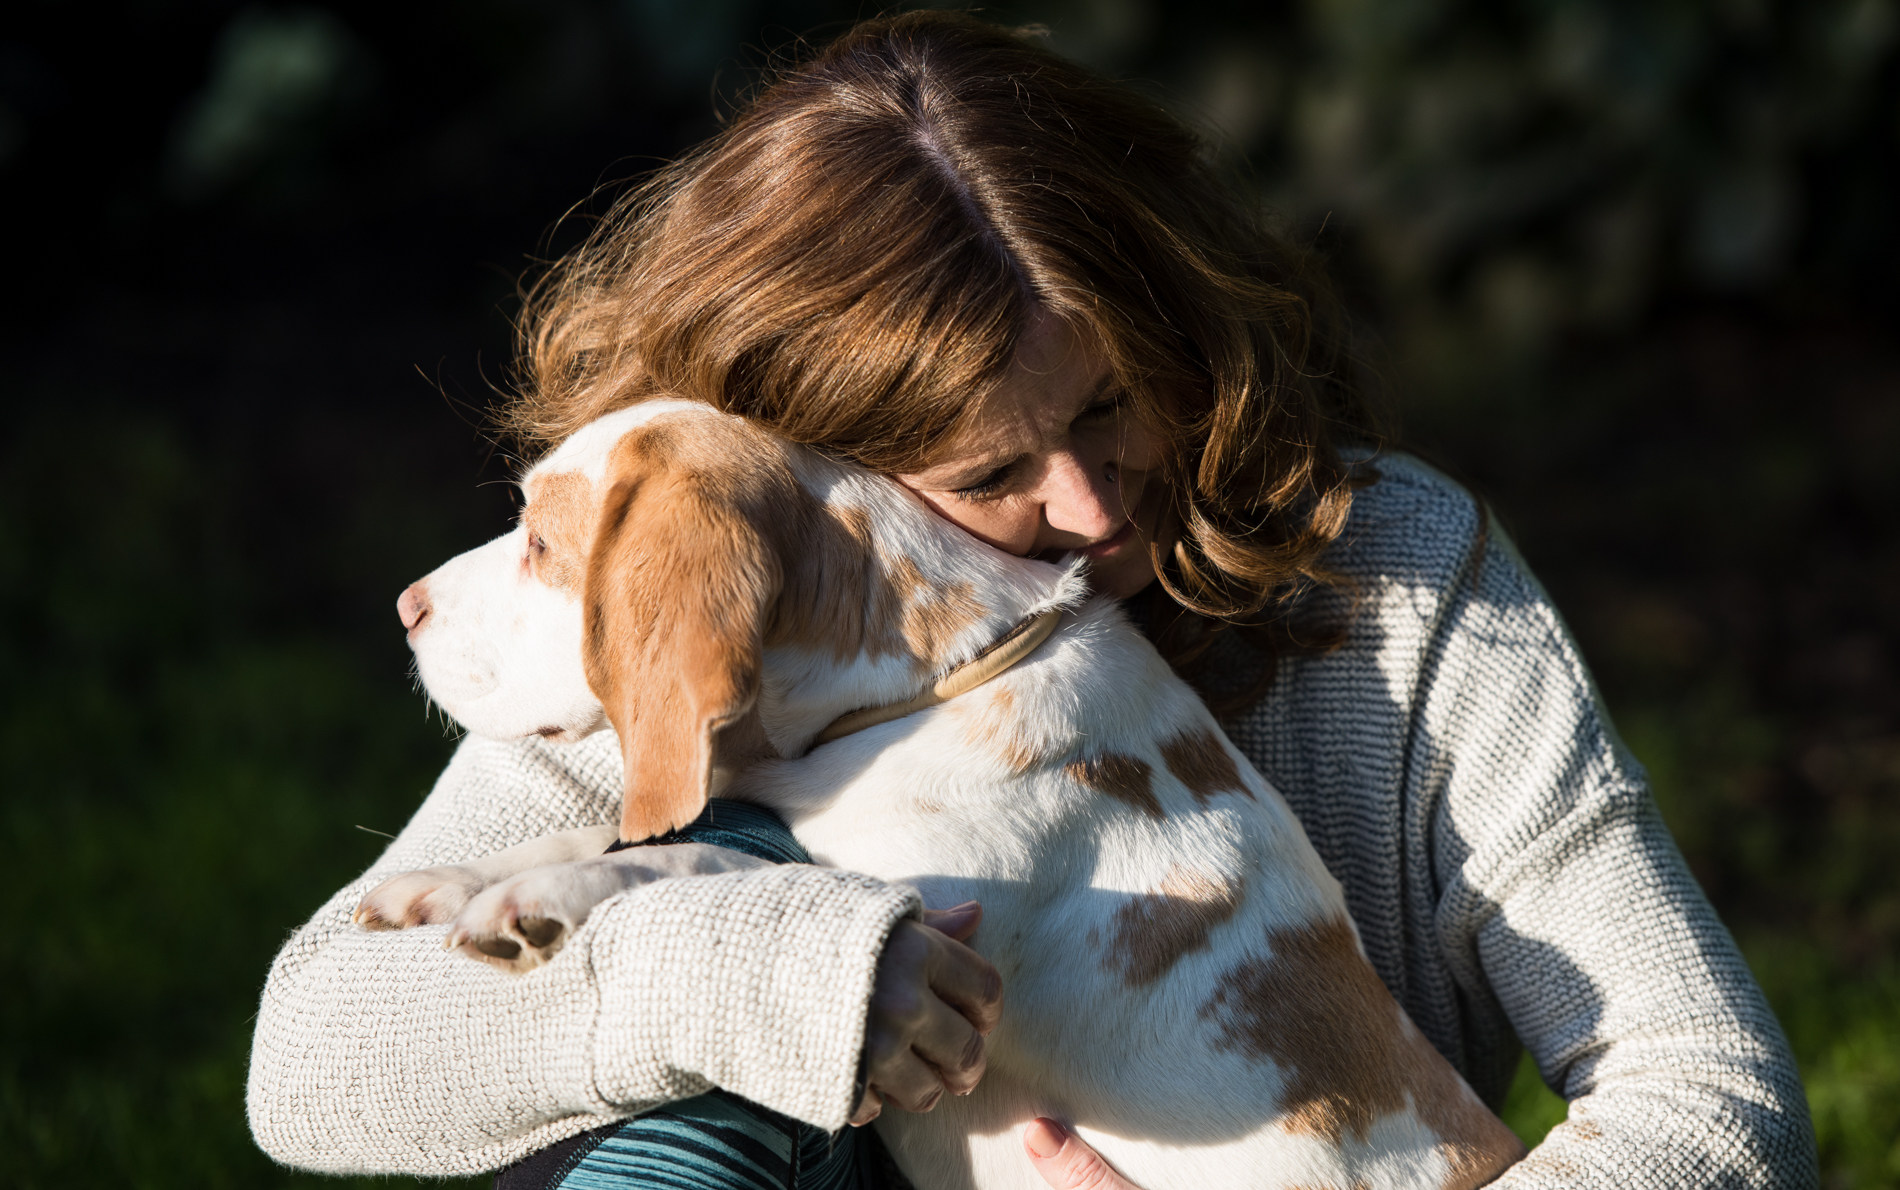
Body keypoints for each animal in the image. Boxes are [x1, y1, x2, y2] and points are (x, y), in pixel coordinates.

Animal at [357, 401, 1520, 1186]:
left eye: (543, 544)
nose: (404, 605)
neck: (918, 696)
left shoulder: (961, 917)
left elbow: (697, 855)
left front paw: (536, 904)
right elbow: (607, 825)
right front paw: (445, 879)